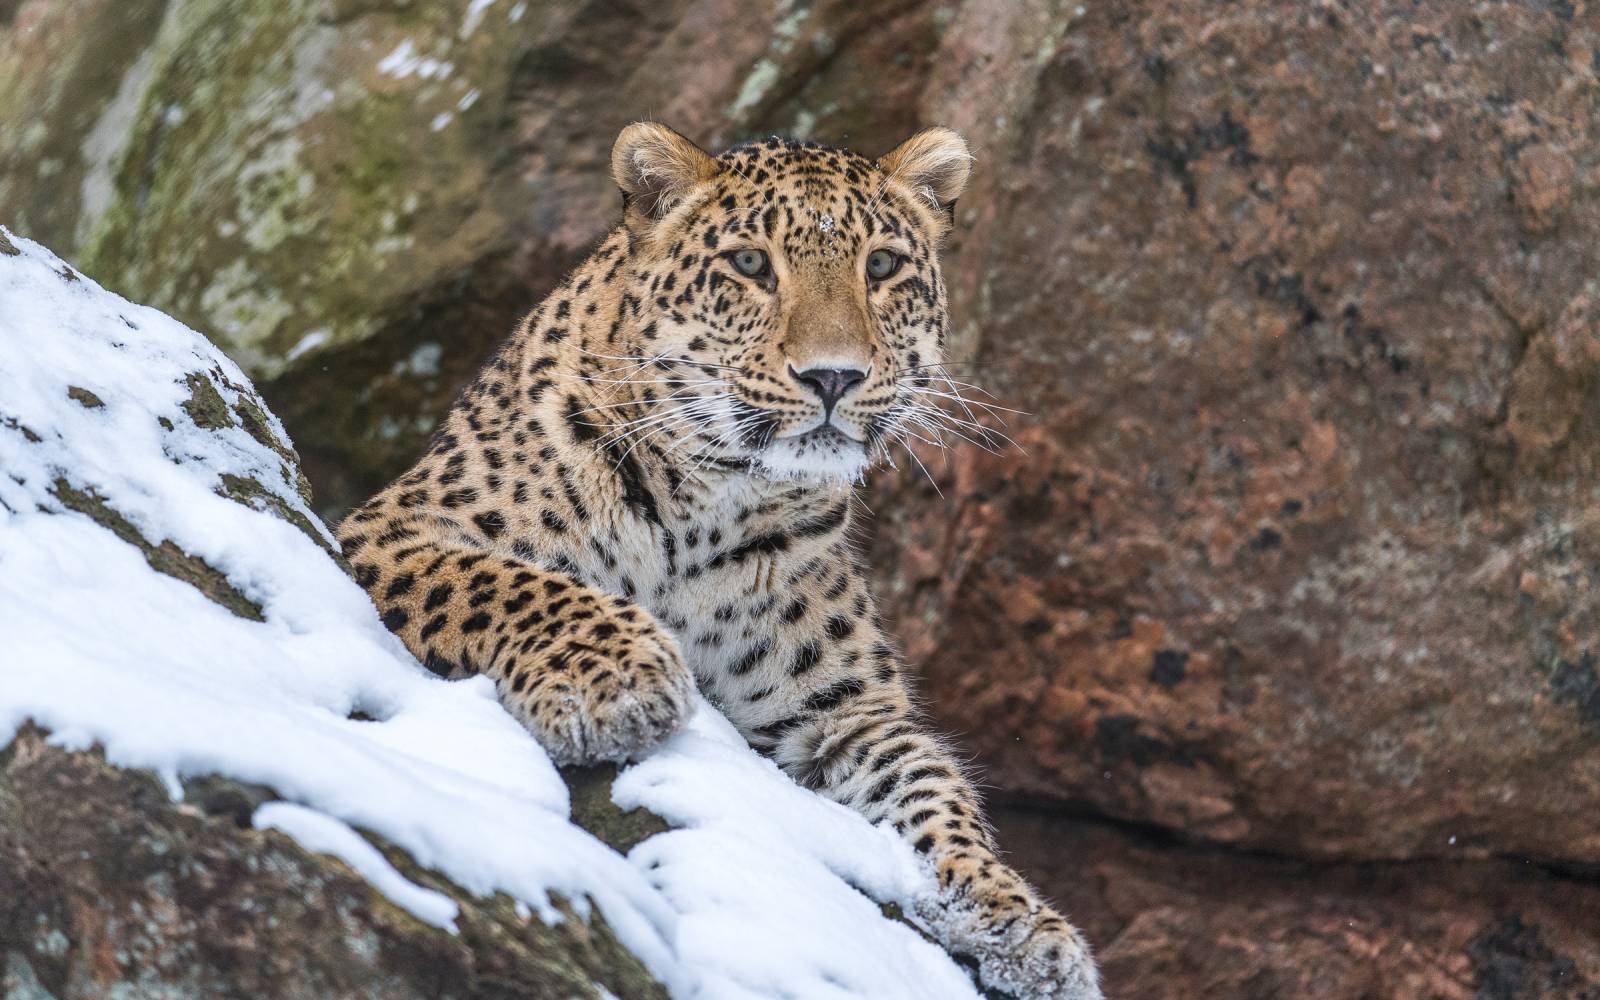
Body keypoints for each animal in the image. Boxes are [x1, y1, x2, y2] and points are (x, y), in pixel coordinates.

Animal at [340, 124, 1100, 998]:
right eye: (749, 265)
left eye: (881, 267)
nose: (834, 375)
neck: (714, 501)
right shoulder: (395, 529)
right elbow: (517, 584)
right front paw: (616, 682)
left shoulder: (837, 716)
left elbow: (933, 791)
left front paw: (1020, 920)